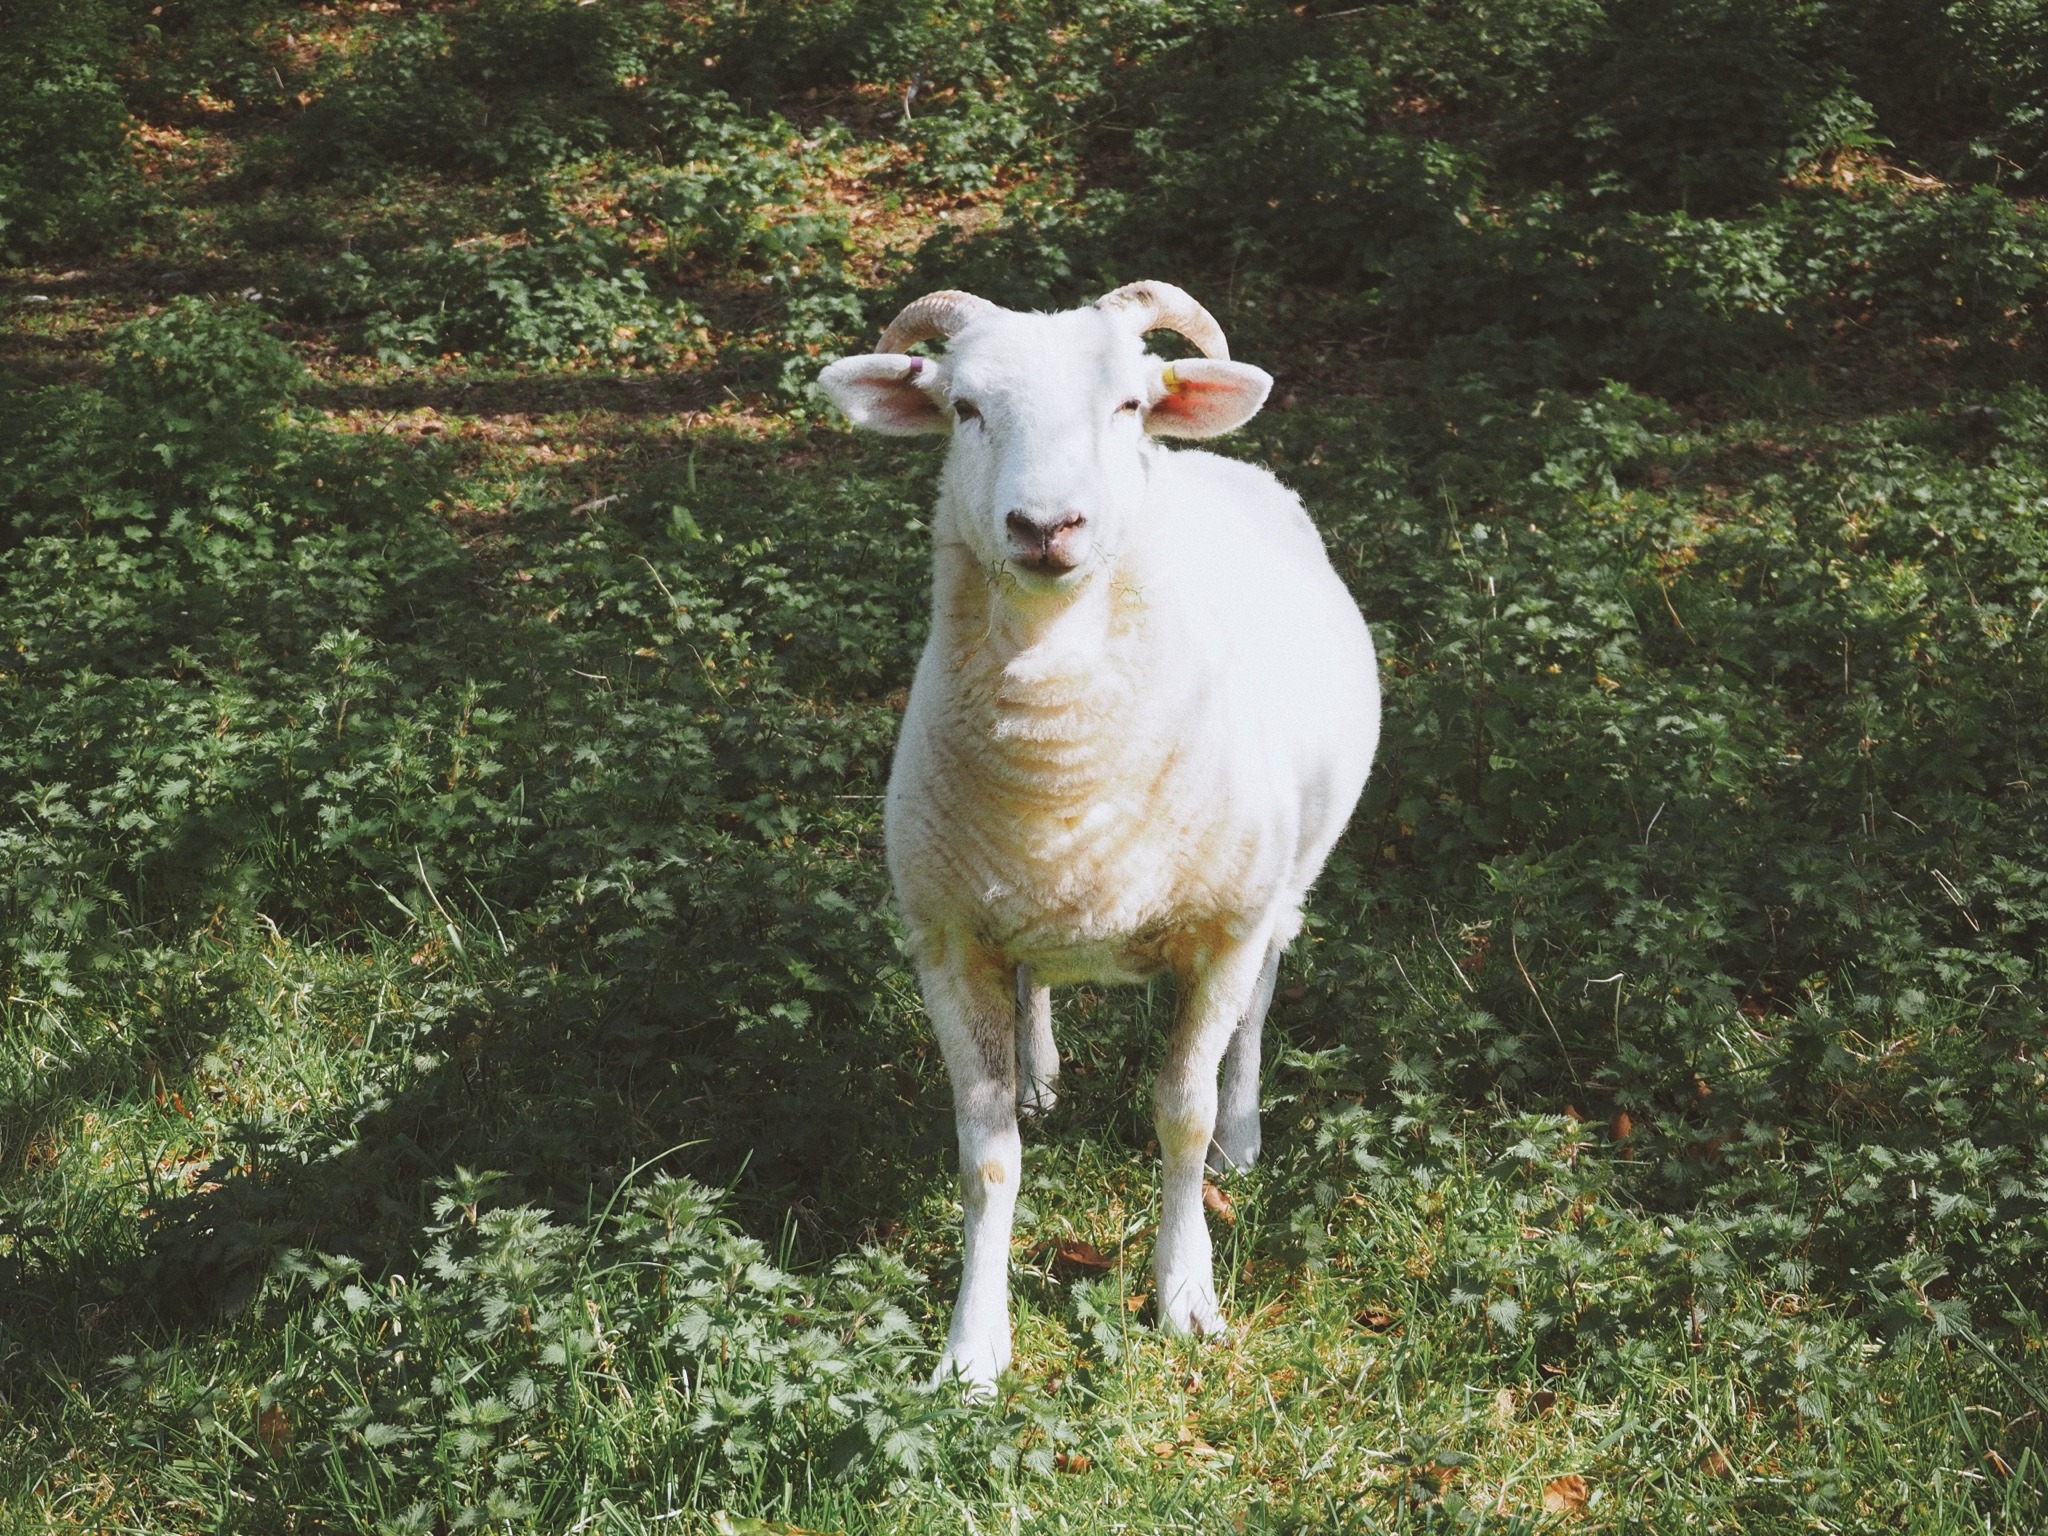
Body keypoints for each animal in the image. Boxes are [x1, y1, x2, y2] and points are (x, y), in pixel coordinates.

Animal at [815, 280, 1376, 1392]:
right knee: (1038, 980)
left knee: (1259, 1008)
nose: (1046, 524)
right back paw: (1040, 1075)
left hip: (1285, 881)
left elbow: (1181, 1115)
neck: (1058, 757)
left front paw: (1187, 1294)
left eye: (1127, 404)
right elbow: (986, 1156)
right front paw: (973, 1346)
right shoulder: (948, 938)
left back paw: (1245, 1130)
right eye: (964, 408)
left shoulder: (1224, 927)